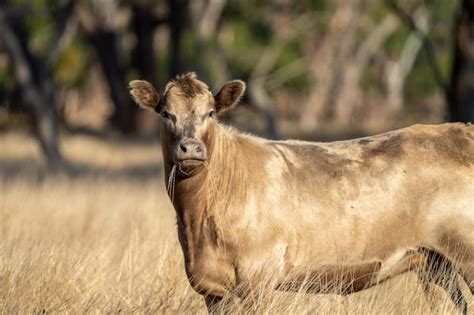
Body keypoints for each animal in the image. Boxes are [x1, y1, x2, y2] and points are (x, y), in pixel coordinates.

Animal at [129, 73, 474, 314]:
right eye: (165, 113)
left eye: (211, 113)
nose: (191, 148)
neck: (197, 219)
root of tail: (459, 130)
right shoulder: (212, 290)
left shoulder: (257, 279)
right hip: (434, 263)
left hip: (466, 253)